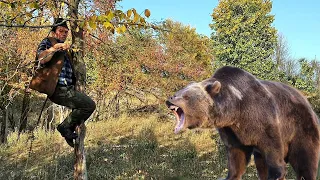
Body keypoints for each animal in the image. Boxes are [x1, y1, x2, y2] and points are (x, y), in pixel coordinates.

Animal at [166, 66, 318, 180]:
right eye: (179, 91)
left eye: (186, 96)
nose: (170, 99)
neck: (236, 111)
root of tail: (306, 101)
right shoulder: (231, 131)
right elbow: (236, 156)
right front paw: (230, 176)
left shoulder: (263, 118)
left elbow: (273, 148)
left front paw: (276, 174)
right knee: (261, 163)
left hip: (301, 126)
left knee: (305, 159)